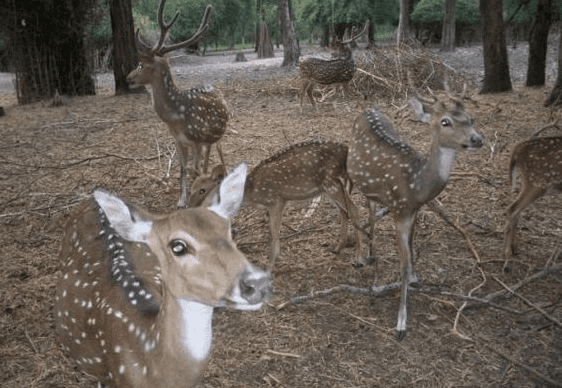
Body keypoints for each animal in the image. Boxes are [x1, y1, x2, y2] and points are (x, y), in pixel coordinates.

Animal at [127, 0, 228, 209]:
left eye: (141, 65)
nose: (128, 78)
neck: (176, 118)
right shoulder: (179, 141)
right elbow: (183, 169)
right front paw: (181, 201)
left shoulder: (196, 139)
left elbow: (195, 170)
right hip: (207, 140)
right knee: (208, 157)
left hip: (218, 134)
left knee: (219, 151)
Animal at [185, 140, 368, 272]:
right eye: (191, 187)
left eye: (203, 190)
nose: (188, 207)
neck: (251, 193)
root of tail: (346, 151)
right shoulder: (270, 206)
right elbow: (271, 233)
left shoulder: (277, 200)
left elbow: (273, 234)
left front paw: (269, 267)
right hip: (332, 187)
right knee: (344, 211)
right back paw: (337, 247)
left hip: (332, 183)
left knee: (354, 209)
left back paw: (359, 258)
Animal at [504, 135, 560, 266]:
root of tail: (517, 148)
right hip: (537, 182)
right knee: (513, 208)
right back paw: (507, 259)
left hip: (530, 182)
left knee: (516, 209)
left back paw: (514, 248)